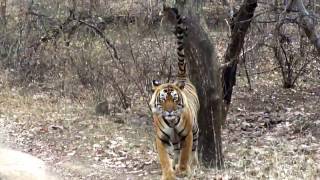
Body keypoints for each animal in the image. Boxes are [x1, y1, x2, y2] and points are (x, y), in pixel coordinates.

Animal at [150, 5, 200, 180]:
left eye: (174, 99)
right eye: (163, 100)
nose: (170, 111)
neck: (171, 122)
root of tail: (182, 77)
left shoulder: (187, 134)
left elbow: (186, 153)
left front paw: (183, 170)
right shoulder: (161, 137)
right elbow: (164, 158)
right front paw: (169, 174)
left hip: (195, 129)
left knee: (193, 150)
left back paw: (192, 166)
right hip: (174, 139)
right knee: (177, 150)